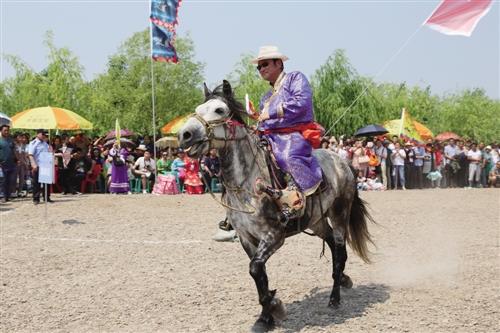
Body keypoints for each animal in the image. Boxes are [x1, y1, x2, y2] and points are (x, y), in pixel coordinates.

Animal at [178, 80, 374, 330]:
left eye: (219, 110)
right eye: (198, 108)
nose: (185, 134)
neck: (248, 183)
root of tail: (342, 161)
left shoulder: (274, 236)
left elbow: (255, 269)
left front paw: (274, 307)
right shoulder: (247, 239)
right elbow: (259, 274)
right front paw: (266, 316)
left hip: (340, 213)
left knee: (339, 252)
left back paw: (334, 298)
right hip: (317, 220)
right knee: (331, 243)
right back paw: (344, 281)